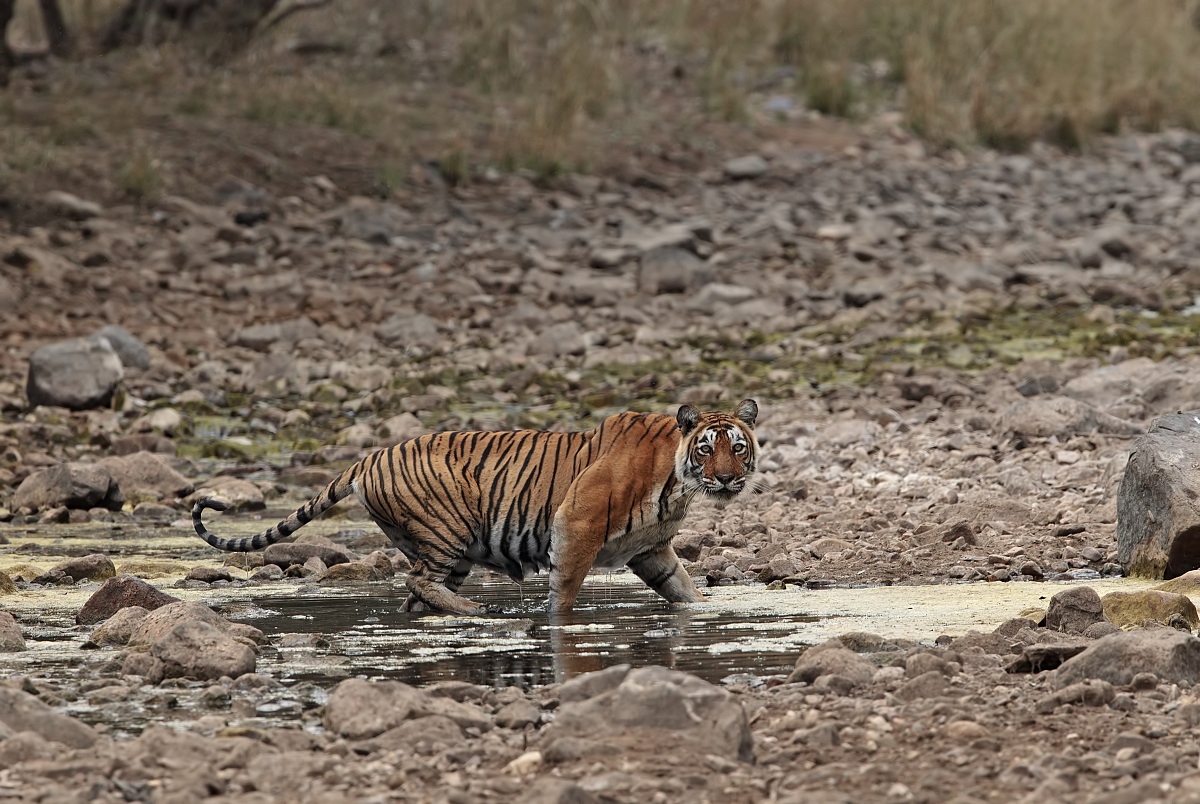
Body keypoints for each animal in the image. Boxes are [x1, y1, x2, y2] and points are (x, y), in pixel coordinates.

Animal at [192, 399, 760, 615]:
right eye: (707, 450)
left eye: (739, 446)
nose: (727, 478)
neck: (677, 483)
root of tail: (369, 456)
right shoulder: (575, 527)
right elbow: (564, 593)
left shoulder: (650, 551)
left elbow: (683, 589)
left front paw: (706, 610)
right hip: (449, 528)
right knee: (415, 581)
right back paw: (473, 611)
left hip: (450, 549)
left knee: (416, 592)